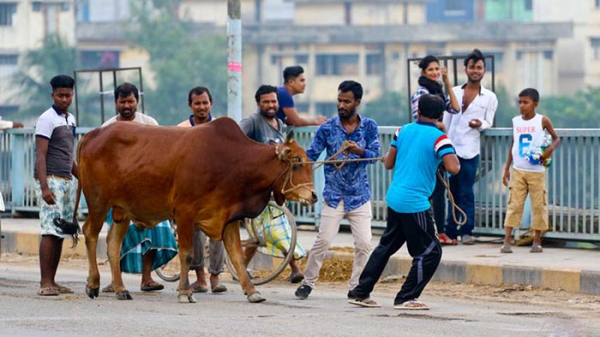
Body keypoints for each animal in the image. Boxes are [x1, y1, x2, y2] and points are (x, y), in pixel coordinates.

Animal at [77, 117, 316, 302]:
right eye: (296, 162)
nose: (313, 195)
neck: (234, 161)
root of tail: (93, 134)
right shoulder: (184, 213)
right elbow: (187, 255)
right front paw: (185, 292)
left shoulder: (227, 218)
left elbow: (237, 257)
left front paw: (252, 291)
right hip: (98, 203)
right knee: (90, 233)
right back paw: (93, 284)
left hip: (121, 211)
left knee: (113, 244)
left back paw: (120, 289)